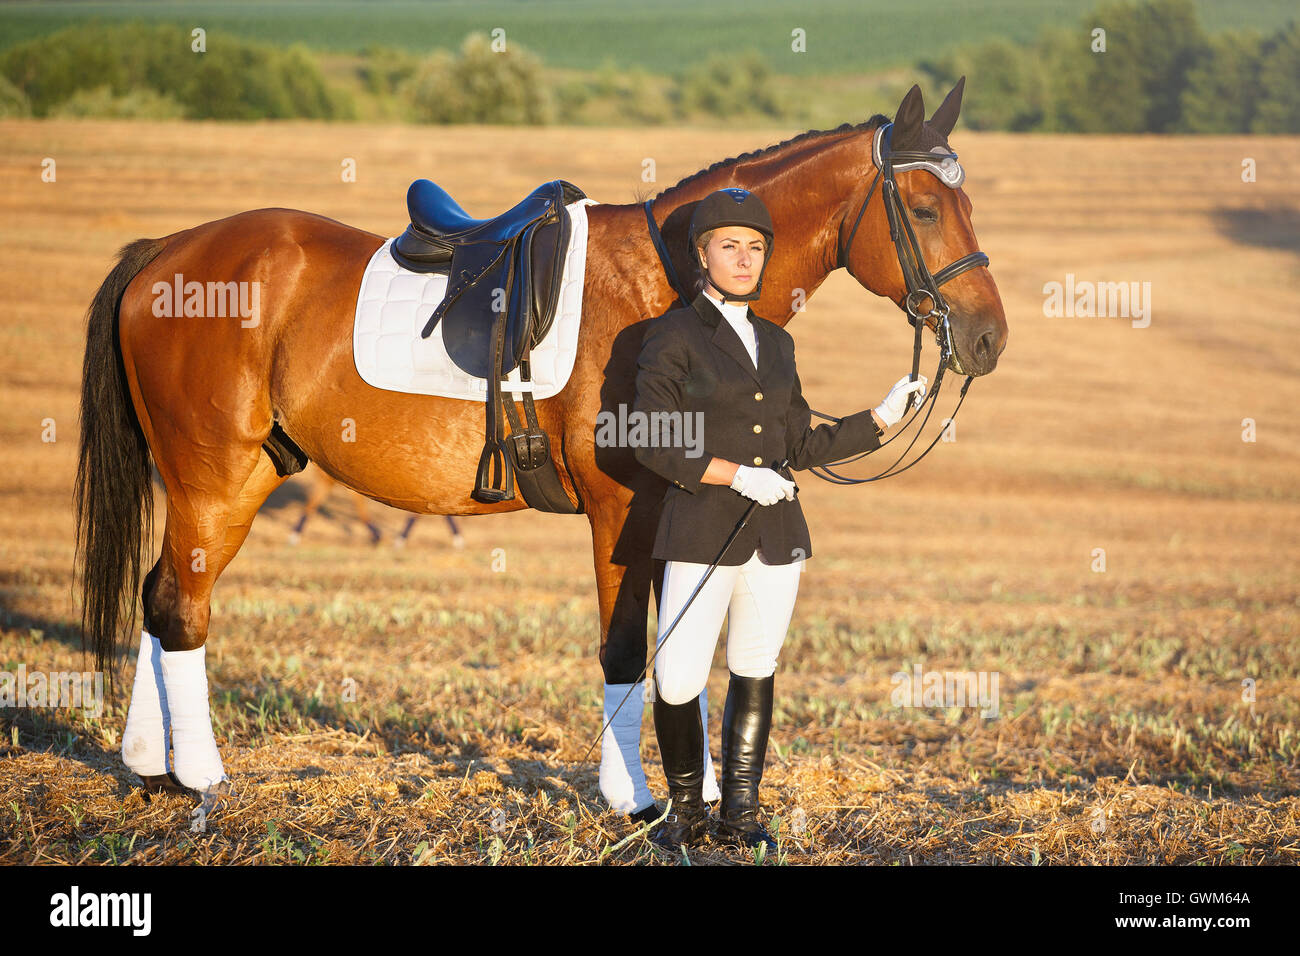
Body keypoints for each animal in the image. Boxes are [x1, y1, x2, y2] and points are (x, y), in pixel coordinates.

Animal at [75, 80, 1007, 808]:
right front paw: (635, 800)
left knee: (161, 598)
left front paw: (700, 792)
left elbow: (685, 643)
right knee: (180, 606)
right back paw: (199, 776)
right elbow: (629, 649)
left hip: (236, 479)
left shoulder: (678, 509)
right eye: (926, 208)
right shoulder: (622, 511)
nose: (989, 338)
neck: (675, 287)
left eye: (969, 205)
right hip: (214, 479)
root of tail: (168, 252)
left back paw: (150, 769)